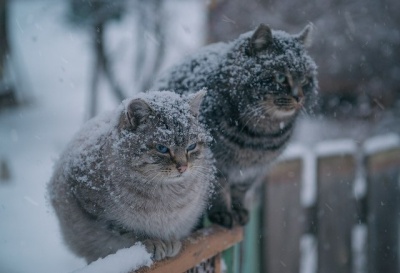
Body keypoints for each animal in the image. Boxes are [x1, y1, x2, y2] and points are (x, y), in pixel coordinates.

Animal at [48, 89, 214, 262]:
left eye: (191, 146)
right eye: (162, 148)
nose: (183, 167)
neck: (166, 194)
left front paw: (169, 241)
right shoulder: (97, 211)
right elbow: (127, 230)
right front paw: (153, 241)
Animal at [152, 23, 318, 227]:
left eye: (305, 79)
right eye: (280, 78)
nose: (299, 97)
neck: (261, 135)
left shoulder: (253, 170)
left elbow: (240, 190)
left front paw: (239, 211)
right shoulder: (216, 163)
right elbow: (219, 190)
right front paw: (223, 213)